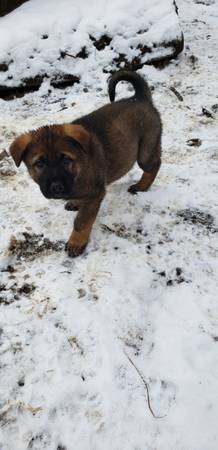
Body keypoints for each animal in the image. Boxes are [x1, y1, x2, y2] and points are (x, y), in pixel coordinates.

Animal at [9, 72, 162, 258]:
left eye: (66, 160)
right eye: (40, 164)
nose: (56, 187)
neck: (79, 170)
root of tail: (139, 98)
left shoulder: (95, 195)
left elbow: (81, 222)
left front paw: (76, 243)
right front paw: (75, 202)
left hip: (145, 152)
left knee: (155, 165)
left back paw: (141, 186)